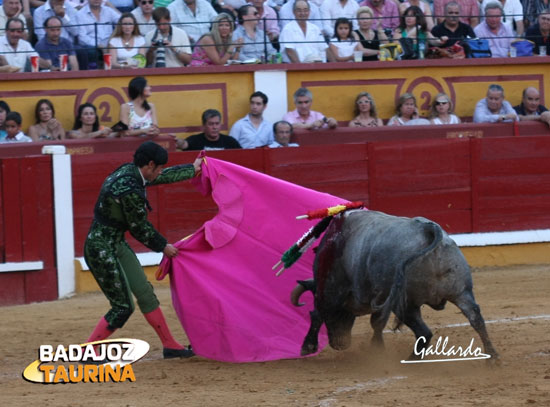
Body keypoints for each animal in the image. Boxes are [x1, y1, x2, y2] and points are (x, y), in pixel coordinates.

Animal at [294, 210, 500, 360]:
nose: (340, 344)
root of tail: (428, 230)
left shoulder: (331, 291)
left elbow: (318, 313)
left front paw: (307, 346)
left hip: (404, 302)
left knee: (419, 331)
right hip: (460, 291)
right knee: (474, 318)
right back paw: (492, 356)